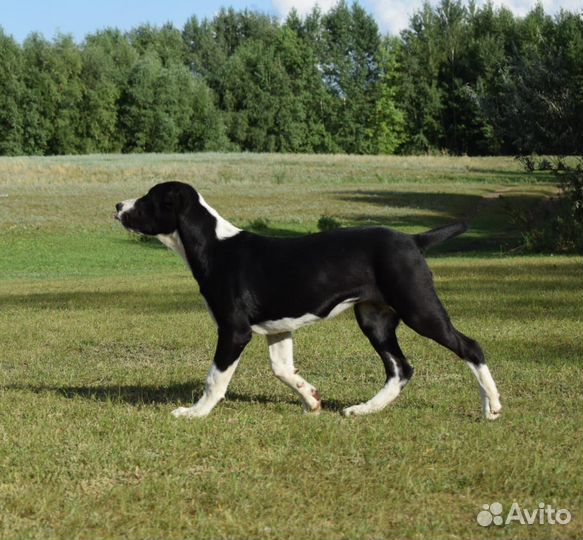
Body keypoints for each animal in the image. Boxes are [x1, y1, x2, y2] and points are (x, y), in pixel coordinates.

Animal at [115, 181, 502, 422]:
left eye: (149, 198)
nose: (118, 205)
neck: (215, 245)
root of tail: (414, 239)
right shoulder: (278, 329)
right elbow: (283, 369)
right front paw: (312, 399)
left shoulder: (234, 330)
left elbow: (215, 378)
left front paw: (195, 413)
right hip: (374, 319)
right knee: (400, 368)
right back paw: (363, 410)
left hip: (419, 308)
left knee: (470, 346)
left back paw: (493, 406)